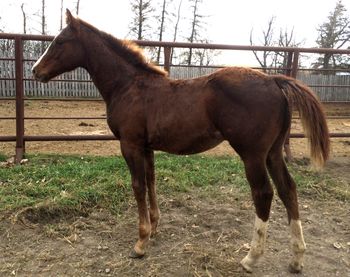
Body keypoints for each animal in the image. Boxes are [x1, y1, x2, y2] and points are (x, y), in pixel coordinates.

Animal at [31, 10, 330, 272]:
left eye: (59, 41)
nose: (35, 71)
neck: (129, 86)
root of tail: (273, 81)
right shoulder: (146, 147)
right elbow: (151, 182)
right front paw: (154, 227)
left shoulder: (130, 145)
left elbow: (138, 186)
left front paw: (140, 242)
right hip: (273, 152)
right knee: (288, 189)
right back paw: (296, 259)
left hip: (252, 155)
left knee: (264, 193)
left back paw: (251, 258)